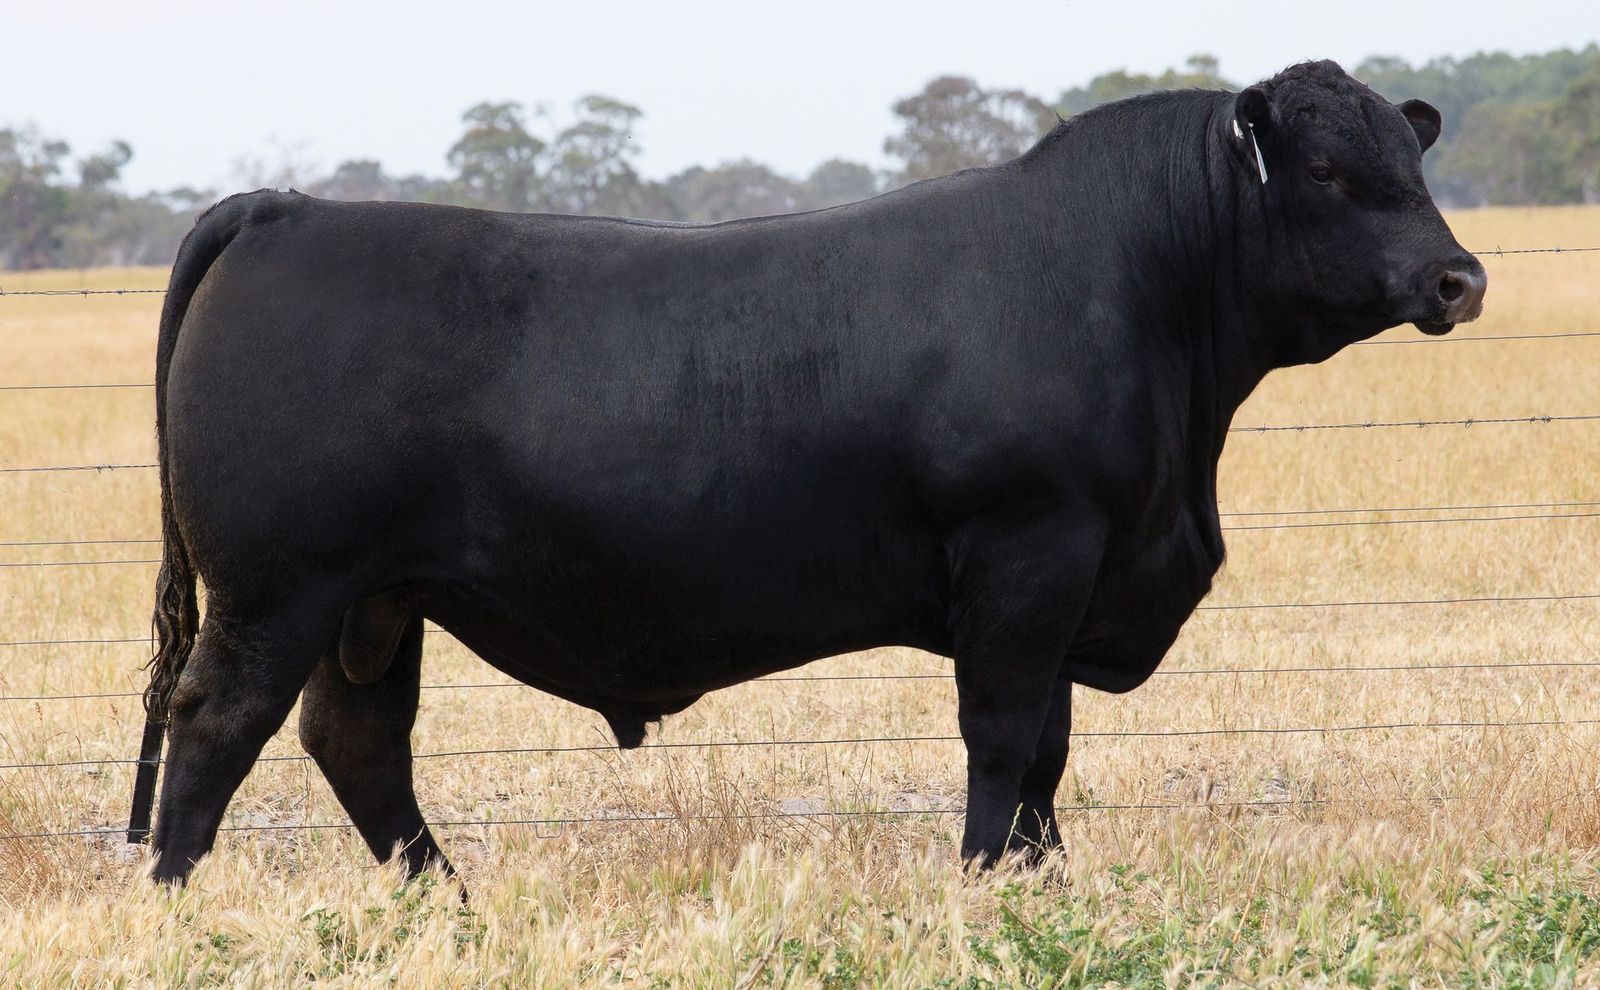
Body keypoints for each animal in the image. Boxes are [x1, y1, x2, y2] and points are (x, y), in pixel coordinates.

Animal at [130, 59, 1485, 885]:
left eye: (1411, 163)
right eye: (1324, 171)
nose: (1457, 277)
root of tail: (289, 206)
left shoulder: (1072, 576)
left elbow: (1048, 751)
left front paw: (1040, 883)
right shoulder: (1029, 554)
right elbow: (1004, 739)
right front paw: (984, 882)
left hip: (373, 601)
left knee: (357, 741)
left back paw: (447, 904)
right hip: (279, 590)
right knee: (216, 725)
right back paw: (176, 898)